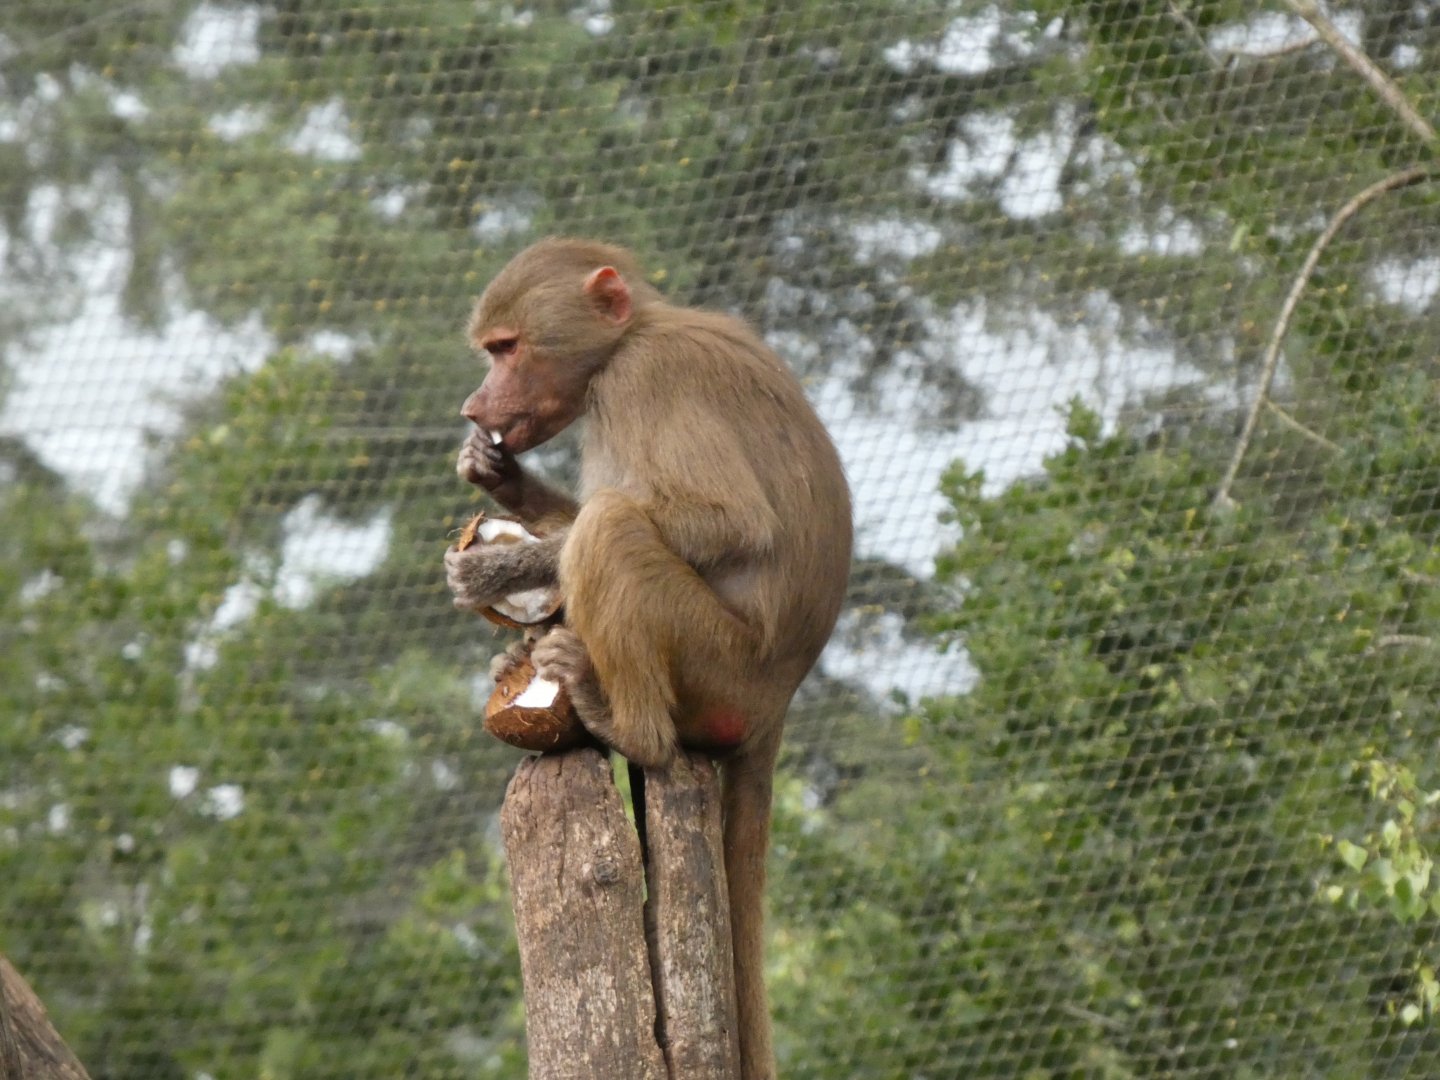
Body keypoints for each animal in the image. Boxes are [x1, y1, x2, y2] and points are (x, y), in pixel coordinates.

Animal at [444, 237, 852, 1080]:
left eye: (506, 348)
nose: (475, 407)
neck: (629, 338)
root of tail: (778, 703)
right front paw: (502, 478)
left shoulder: (644, 380)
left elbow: (723, 521)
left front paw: (505, 569)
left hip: (717, 663)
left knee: (613, 528)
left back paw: (626, 724)